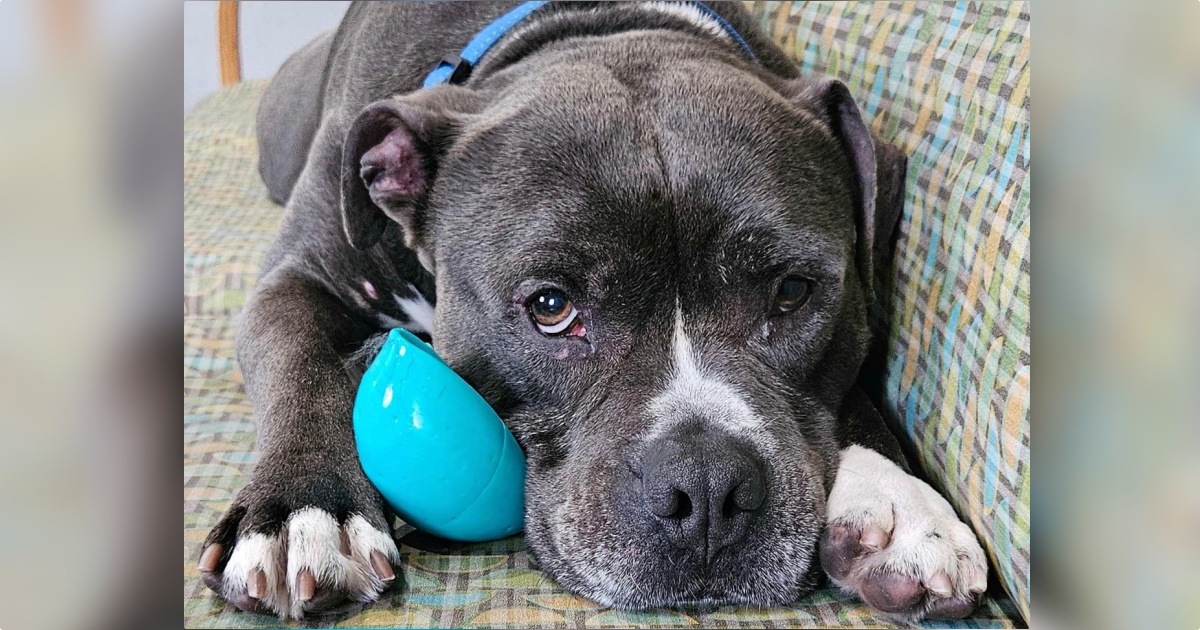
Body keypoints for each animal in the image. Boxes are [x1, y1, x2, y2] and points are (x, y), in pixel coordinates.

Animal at [194, 0, 984, 619]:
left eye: (791, 292)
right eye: (551, 306)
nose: (706, 486)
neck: (593, 24)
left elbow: (855, 393)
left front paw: (904, 504)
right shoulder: (296, 277)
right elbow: (300, 363)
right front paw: (305, 508)